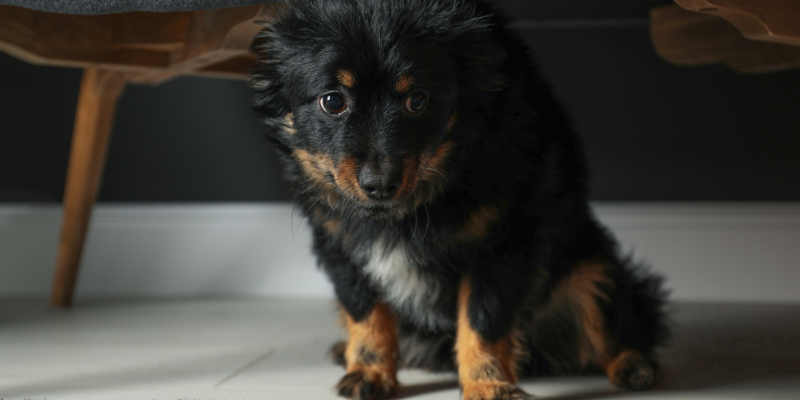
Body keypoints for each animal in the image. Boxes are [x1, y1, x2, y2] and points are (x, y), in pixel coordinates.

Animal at [252, 1, 668, 398]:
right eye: (333, 101)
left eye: (417, 100)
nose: (380, 184)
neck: (411, 207)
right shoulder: (340, 245)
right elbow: (365, 312)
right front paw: (369, 371)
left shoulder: (503, 244)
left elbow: (482, 322)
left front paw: (488, 385)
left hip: (593, 266)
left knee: (615, 327)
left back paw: (634, 365)